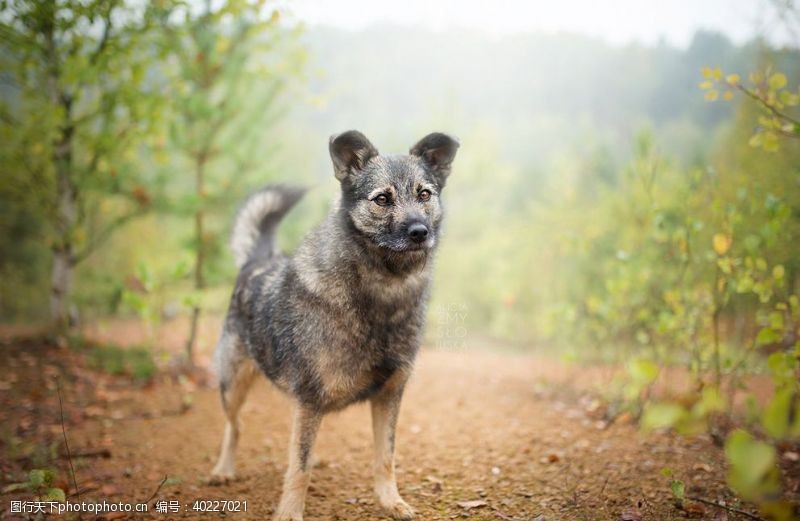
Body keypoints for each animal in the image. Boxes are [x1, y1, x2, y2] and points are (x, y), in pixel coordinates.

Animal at [209, 131, 460, 520]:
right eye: (382, 199)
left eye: (424, 194)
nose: (420, 232)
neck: (382, 295)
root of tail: (258, 259)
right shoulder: (310, 400)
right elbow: (299, 468)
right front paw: (289, 513)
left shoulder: (390, 394)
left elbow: (385, 457)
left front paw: (391, 501)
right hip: (232, 384)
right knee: (235, 426)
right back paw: (224, 469)